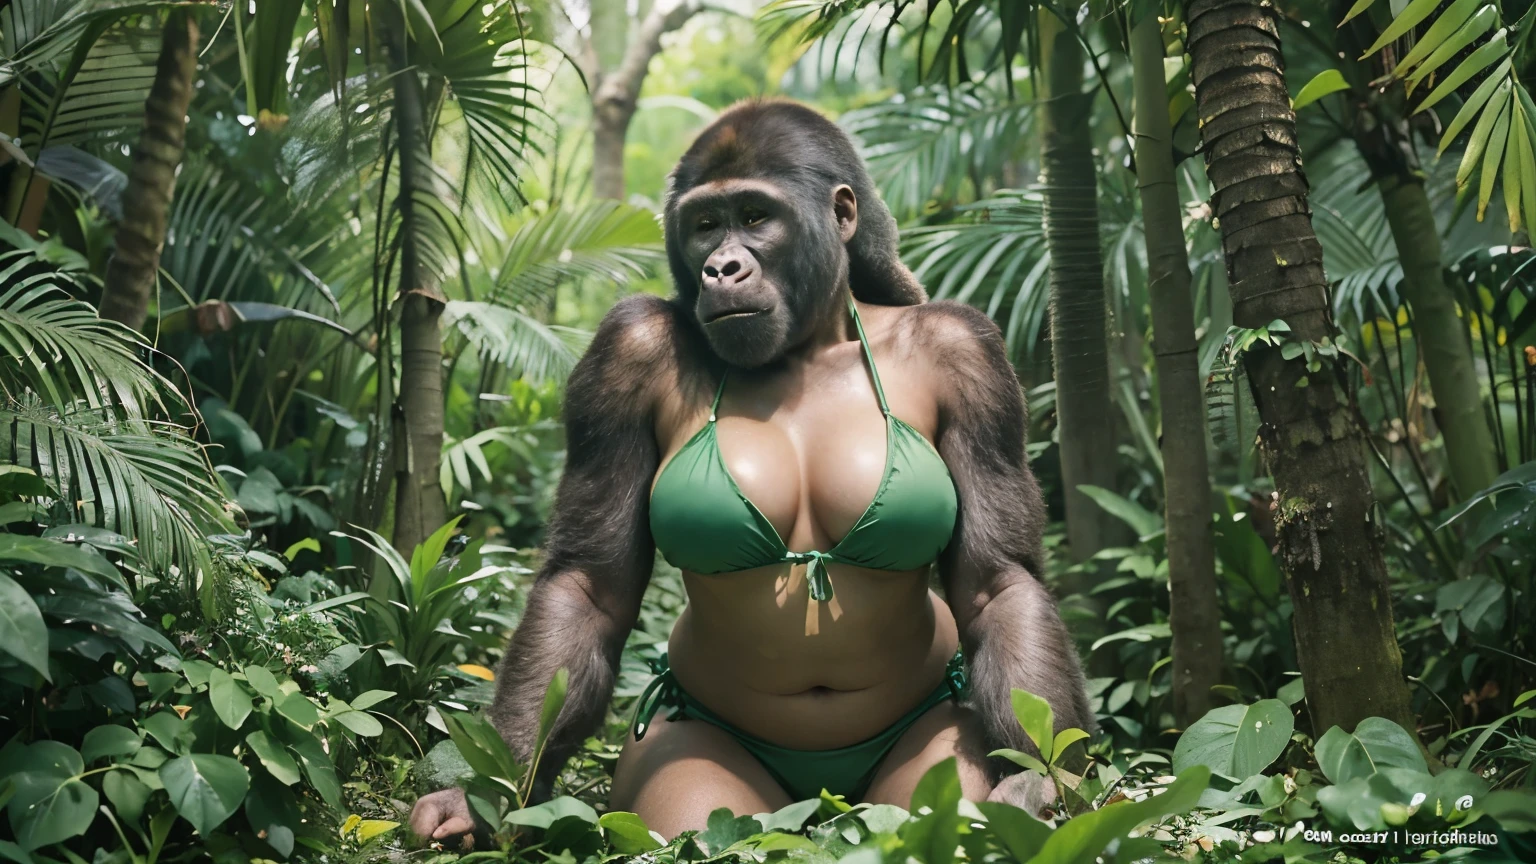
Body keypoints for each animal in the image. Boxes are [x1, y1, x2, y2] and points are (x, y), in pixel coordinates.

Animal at [409, 98, 1094, 844]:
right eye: (706, 226)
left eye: (755, 216)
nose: (720, 268)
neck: (810, 342)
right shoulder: (624, 346)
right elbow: (590, 586)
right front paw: (489, 794)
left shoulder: (969, 348)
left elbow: (998, 580)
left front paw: (1044, 785)